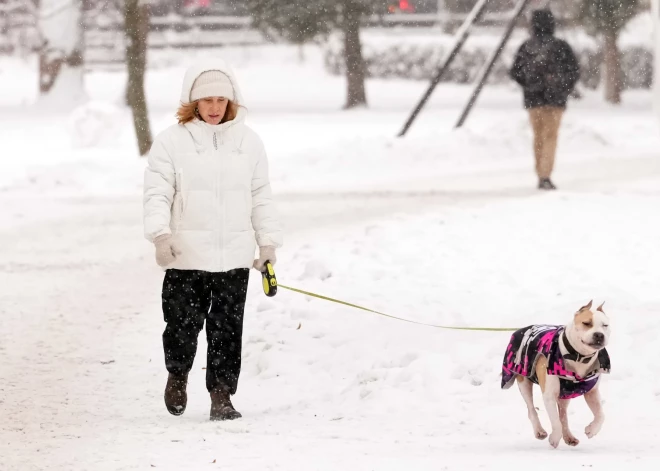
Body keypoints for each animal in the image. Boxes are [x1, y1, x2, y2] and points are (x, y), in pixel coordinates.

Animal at [502, 302, 612, 450]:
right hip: (523, 380)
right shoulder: (549, 395)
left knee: (563, 414)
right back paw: (539, 431)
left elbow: (601, 415)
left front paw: (591, 430)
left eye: (605, 325)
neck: (579, 357)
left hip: (565, 394)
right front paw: (554, 438)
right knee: (531, 408)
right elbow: (555, 421)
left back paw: (569, 437)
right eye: (586, 323)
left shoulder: (592, 392)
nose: (599, 335)